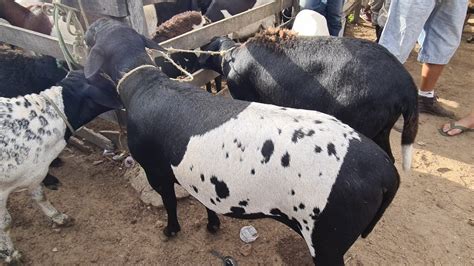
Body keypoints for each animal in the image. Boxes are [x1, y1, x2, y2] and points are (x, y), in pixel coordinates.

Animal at [0, 70, 124, 262]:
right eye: (108, 84)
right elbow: (5, 222)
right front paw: (11, 254)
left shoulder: (36, 173)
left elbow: (40, 196)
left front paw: (58, 217)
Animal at [84, 17, 400, 264]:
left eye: (93, 33)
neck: (145, 84)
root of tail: (387, 175)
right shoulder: (200, 175)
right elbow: (204, 200)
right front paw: (212, 225)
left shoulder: (155, 171)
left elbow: (171, 203)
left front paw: (170, 230)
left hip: (328, 240)